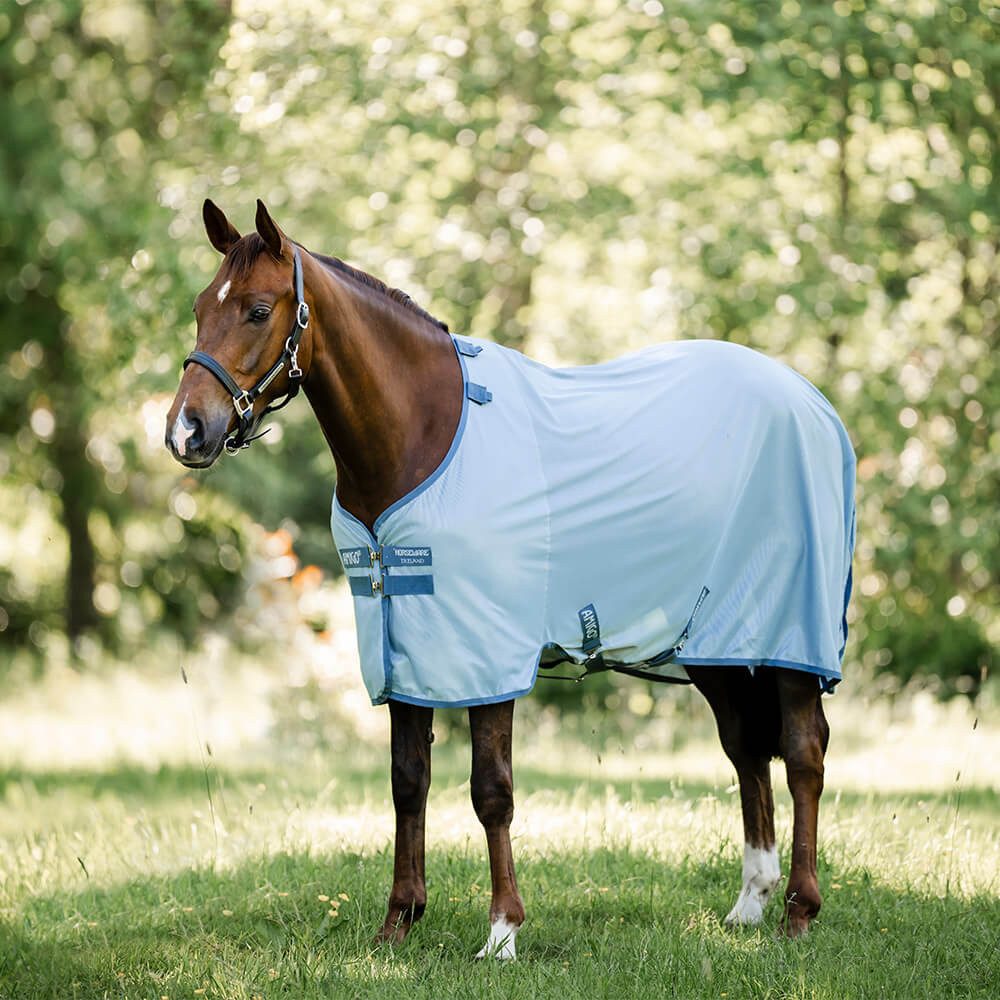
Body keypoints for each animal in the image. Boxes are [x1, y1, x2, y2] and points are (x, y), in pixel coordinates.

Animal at [166, 199, 855, 955]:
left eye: (259, 311)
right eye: (200, 308)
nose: (185, 431)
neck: (423, 434)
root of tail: (814, 405)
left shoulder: (486, 651)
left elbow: (490, 790)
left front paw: (501, 932)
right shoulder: (405, 645)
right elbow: (408, 781)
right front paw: (398, 922)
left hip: (787, 638)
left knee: (803, 753)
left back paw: (798, 909)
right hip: (719, 646)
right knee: (746, 751)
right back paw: (749, 904)